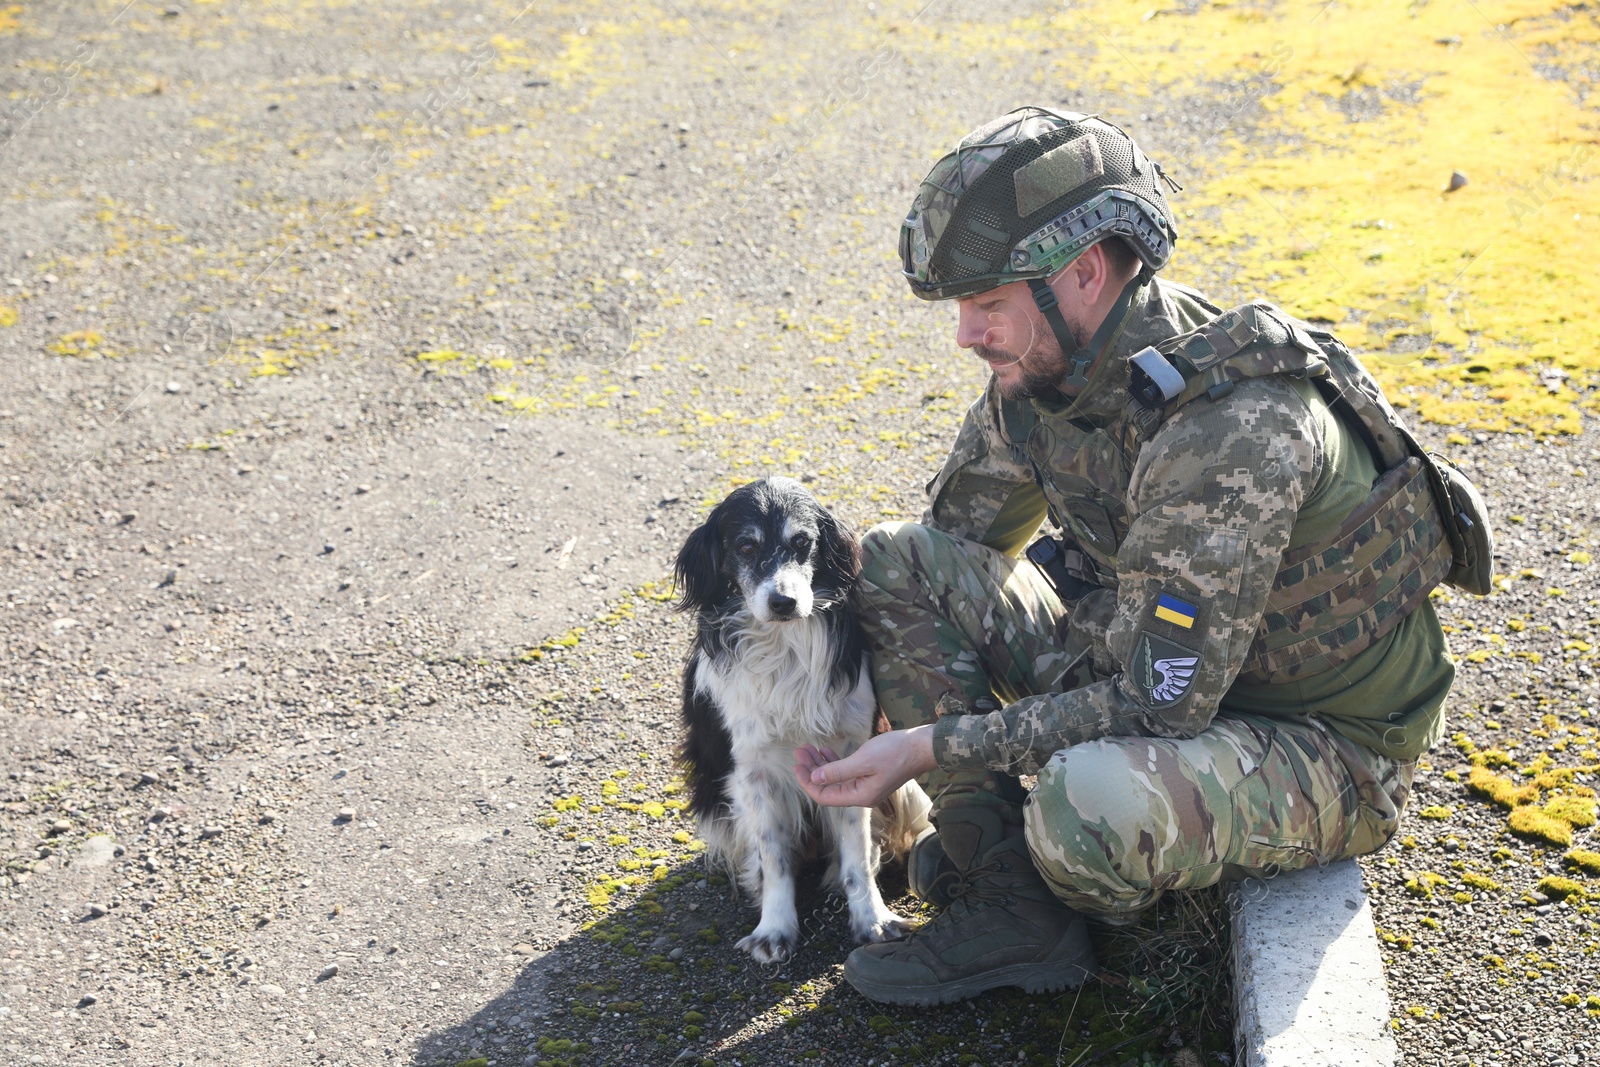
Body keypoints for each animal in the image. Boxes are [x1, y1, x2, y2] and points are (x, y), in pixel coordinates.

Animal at [672, 479, 928, 966]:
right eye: (745, 546)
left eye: (802, 542)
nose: (784, 602)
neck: (783, 645)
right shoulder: (750, 771)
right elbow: (775, 858)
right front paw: (775, 928)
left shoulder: (848, 757)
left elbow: (857, 851)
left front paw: (872, 920)